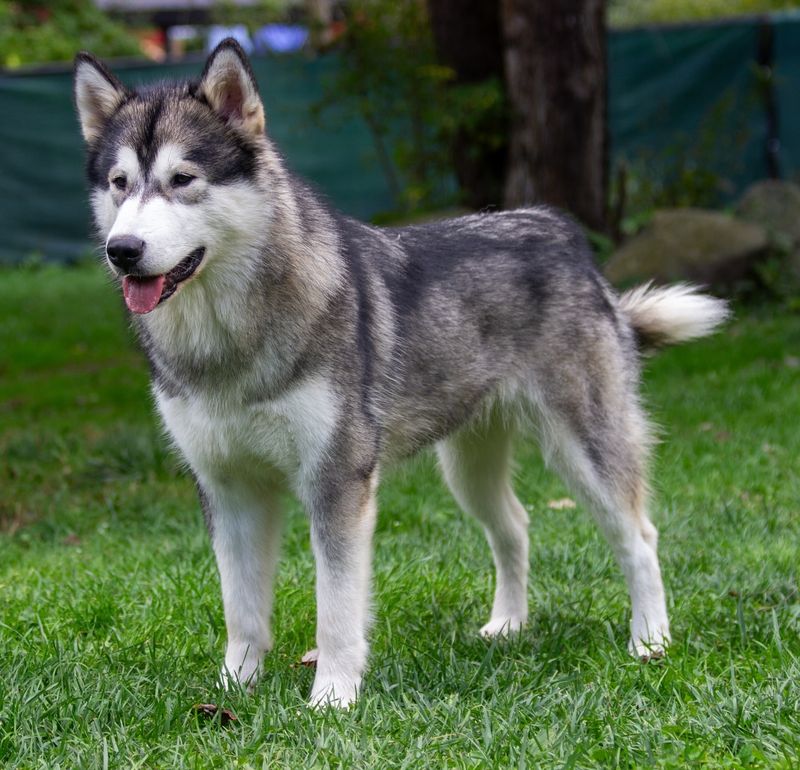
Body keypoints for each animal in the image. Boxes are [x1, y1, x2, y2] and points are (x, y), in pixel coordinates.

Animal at [75, 39, 732, 704]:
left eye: (182, 180)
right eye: (120, 184)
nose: (121, 250)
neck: (227, 341)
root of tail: (563, 233)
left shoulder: (338, 483)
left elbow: (336, 608)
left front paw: (332, 698)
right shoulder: (228, 490)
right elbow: (242, 610)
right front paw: (235, 689)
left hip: (585, 450)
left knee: (639, 537)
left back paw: (650, 641)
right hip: (467, 468)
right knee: (516, 526)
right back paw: (509, 625)